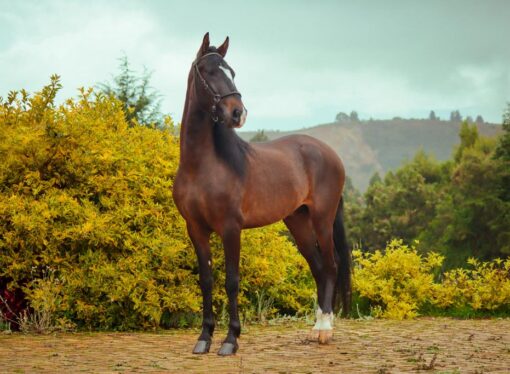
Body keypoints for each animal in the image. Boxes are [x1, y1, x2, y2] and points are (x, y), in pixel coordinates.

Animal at [171, 32, 350, 356]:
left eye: (232, 72)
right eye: (210, 72)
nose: (238, 113)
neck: (202, 166)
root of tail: (330, 153)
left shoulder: (231, 228)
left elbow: (231, 281)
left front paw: (230, 340)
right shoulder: (196, 229)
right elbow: (206, 280)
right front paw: (204, 338)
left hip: (322, 219)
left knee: (331, 265)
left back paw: (325, 330)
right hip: (298, 221)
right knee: (318, 267)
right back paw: (315, 327)